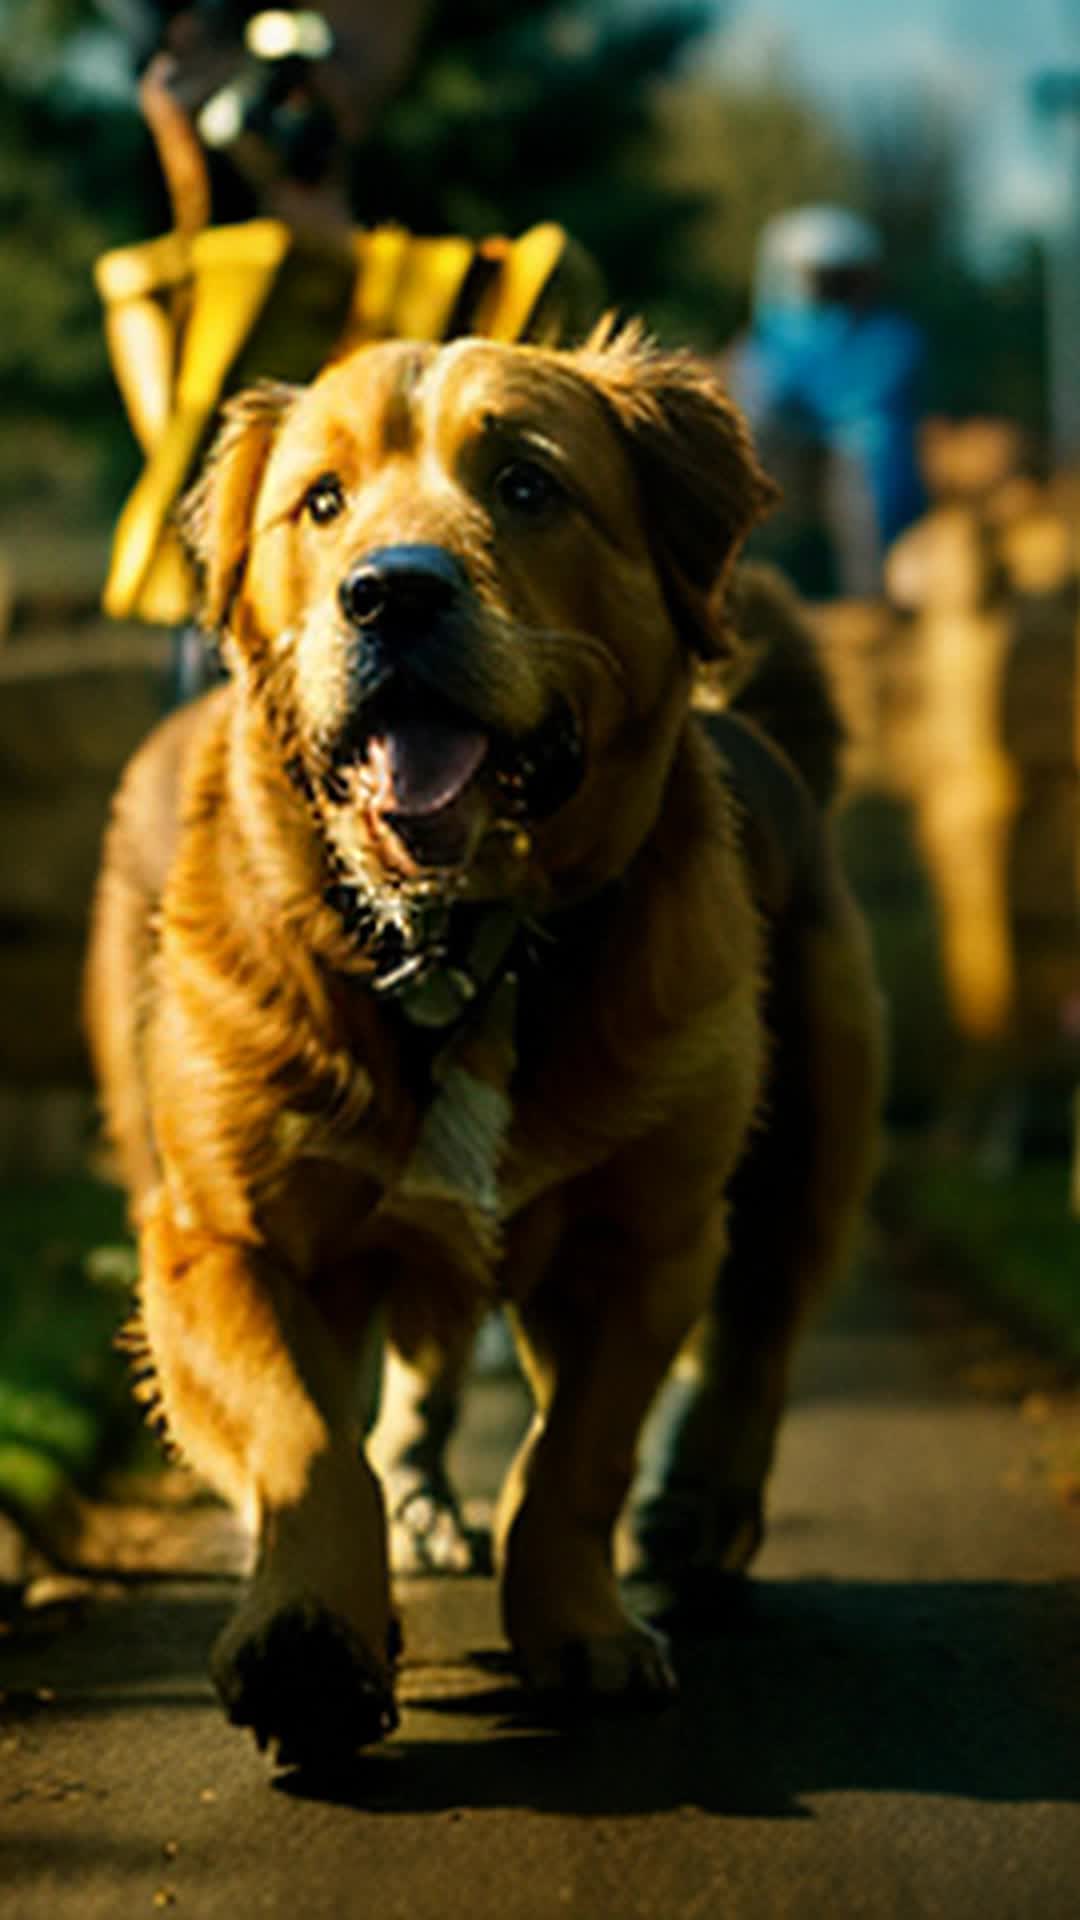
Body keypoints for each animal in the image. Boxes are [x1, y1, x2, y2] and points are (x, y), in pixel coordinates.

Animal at [82, 326, 876, 1766]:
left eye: (525, 484)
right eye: (321, 501)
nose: (390, 596)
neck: (458, 938)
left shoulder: (650, 1241)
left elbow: (575, 1460)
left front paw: (582, 1629)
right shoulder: (219, 1237)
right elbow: (301, 1438)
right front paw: (309, 1636)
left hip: (809, 1144)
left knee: (759, 1342)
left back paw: (700, 1525)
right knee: (427, 1363)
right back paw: (419, 1502)